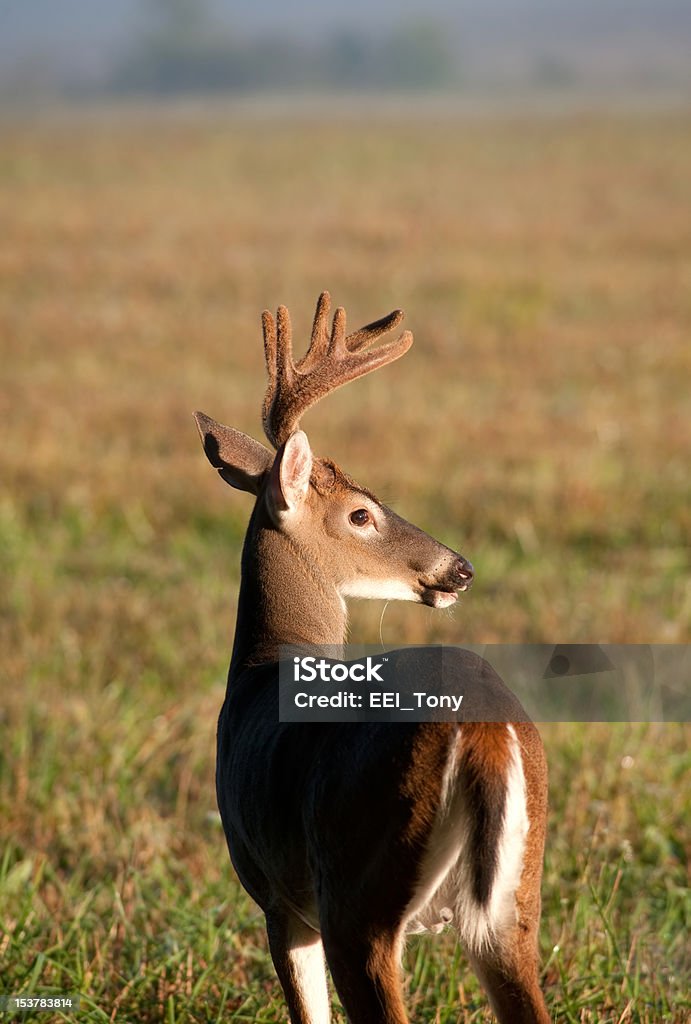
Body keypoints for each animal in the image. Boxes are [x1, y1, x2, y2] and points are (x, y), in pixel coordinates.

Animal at [194, 290, 552, 1024]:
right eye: (362, 514)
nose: (460, 568)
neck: (263, 670)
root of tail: (484, 728)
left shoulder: (276, 894)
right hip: (513, 904)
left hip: (356, 892)